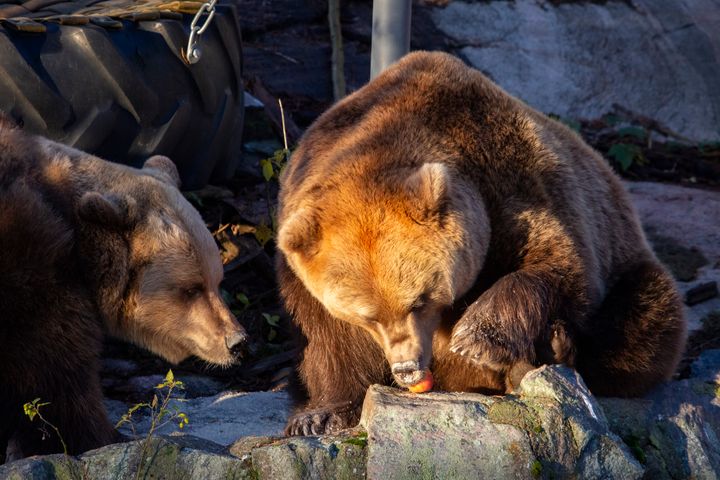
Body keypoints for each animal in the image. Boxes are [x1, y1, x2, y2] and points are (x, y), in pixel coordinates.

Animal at [0, 115, 248, 462]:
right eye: (191, 288)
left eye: (217, 280)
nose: (237, 342)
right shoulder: (33, 267)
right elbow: (54, 376)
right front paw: (98, 437)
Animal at [276, 51, 688, 436]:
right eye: (368, 316)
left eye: (420, 300)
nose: (408, 367)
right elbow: (327, 341)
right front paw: (317, 416)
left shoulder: (511, 185)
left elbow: (557, 264)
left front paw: (476, 339)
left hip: (626, 256)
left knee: (646, 313)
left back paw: (554, 350)